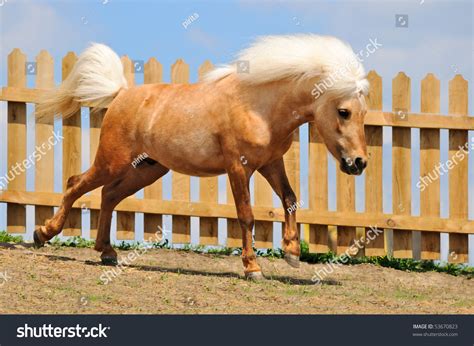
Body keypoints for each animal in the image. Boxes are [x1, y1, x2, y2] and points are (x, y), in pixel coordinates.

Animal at [35, 33, 368, 280]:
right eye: (343, 111)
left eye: (363, 113)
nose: (359, 163)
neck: (259, 107)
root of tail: (120, 94)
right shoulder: (239, 168)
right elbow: (246, 216)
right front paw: (253, 268)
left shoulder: (271, 164)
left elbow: (290, 199)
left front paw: (292, 253)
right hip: (112, 161)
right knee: (76, 183)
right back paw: (43, 234)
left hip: (147, 169)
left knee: (108, 195)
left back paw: (107, 252)